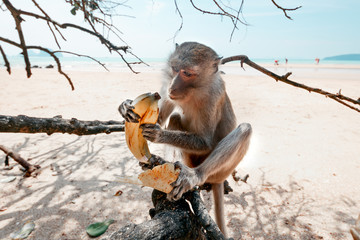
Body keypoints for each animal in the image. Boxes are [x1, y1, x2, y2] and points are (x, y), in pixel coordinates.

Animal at [119, 41, 252, 236]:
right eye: (175, 69)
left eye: (187, 73)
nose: (172, 87)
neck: (194, 91)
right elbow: (160, 118)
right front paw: (124, 106)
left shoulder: (213, 96)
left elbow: (206, 142)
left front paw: (160, 135)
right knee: (175, 117)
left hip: (220, 171)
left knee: (245, 129)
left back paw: (193, 176)